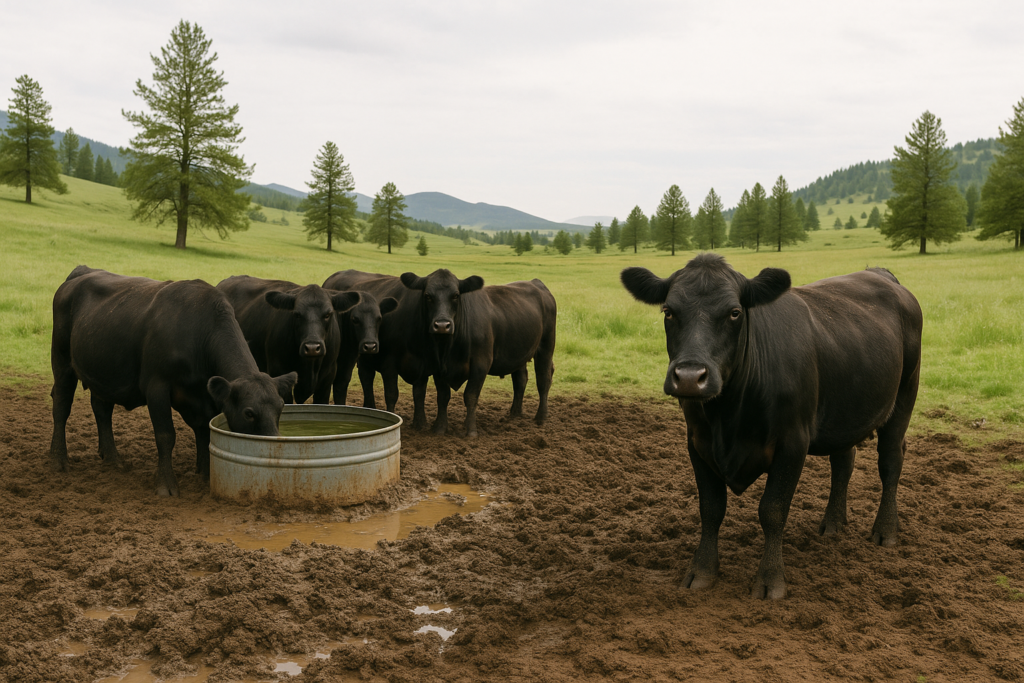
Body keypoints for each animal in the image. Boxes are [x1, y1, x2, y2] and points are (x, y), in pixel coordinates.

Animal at [50, 266, 298, 497]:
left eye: (281, 407)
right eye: (249, 413)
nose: (273, 444)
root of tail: (82, 272)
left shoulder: (205, 395)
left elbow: (204, 432)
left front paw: (205, 474)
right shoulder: (157, 387)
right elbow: (166, 436)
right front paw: (166, 485)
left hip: (103, 372)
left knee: (102, 409)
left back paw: (111, 458)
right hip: (62, 362)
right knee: (61, 405)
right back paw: (59, 459)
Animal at [216, 276, 361, 405]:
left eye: (328, 314)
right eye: (297, 314)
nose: (312, 348)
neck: (310, 366)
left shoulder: (327, 379)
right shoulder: (279, 374)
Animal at [399, 269, 557, 437]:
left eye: (456, 295)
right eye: (428, 295)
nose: (442, 325)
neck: (450, 347)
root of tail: (535, 282)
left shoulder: (481, 364)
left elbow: (470, 395)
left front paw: (471, 430)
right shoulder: (438, 365)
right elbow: (442, 396)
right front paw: (440, 428)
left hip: (546, 346)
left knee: (543, 379)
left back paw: (541, 417)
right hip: (519, 352)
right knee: (520, 380)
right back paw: (515, 413)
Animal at [620, 254, 922, 599]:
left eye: (735, 312)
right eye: (668, 311)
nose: (689, 377)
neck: (727, 417)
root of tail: (880, 274)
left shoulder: (793, 443)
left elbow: (773, 510)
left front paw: (770, 580)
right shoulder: (697, 442)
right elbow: (710, 508)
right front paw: (702, 571)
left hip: (905, 394)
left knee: (890, 461)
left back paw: (885, 530)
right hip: (845, 413)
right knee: (843, 462)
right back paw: (833, 524)